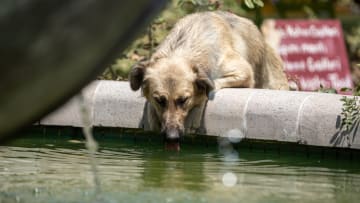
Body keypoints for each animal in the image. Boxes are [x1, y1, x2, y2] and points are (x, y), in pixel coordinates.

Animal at [128, 10, 288, 143]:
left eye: (184, 100)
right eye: (160, 100)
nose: (171, 137)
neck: (182, 48)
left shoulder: (243, 72)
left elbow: (211, 86)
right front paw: (151, 113)